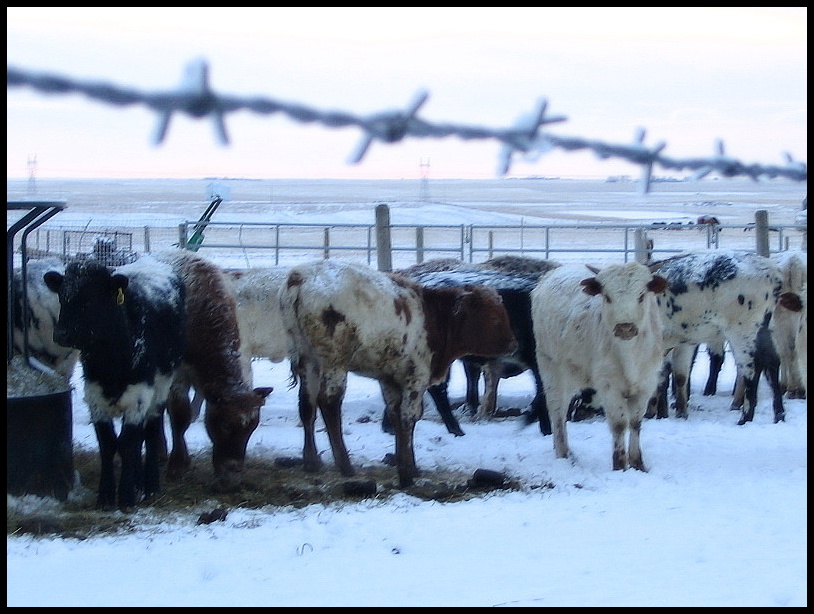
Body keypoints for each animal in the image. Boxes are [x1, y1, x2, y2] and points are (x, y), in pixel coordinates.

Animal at [44, 255, 186, 510]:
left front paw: (127, 497)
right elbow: (109, 444)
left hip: (160, 388)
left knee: (150, 433)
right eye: (62, 296)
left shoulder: (139, 396)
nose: (61, 334)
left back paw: (150, 486)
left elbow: (128, 443)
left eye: (90, 299)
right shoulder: (94, 397)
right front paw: (106, 495)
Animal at [280, 258, 516, 486]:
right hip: (333, 363)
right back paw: (344, 464)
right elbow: (408, 418)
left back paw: (311, 461)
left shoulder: (389, 379)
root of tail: (300, 277)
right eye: (493, 317)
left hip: (307, 360)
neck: (432, 316)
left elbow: (395, 416)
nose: (513, 345)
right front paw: (408, 470)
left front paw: (404, 461)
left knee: (307, 404)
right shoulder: (416, 378)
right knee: (329, 404)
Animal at [532, 264, 672, 472]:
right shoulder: (609, 386)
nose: (625, 327)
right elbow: (620, 424)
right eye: (607, 296)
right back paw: (563, 453)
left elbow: (636, 423)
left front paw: (638, 463)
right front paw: (620, 465)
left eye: (641, 295)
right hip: (552, 369)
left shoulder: (646, 384)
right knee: (558, 412)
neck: (629, 354)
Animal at [648, 250, 788, 428]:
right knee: (772, 362)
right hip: (764, 327)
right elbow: (674, 376)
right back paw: (779, 415)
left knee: (751, 368)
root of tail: (772, 273)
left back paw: (745, 417)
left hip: (743, 330)